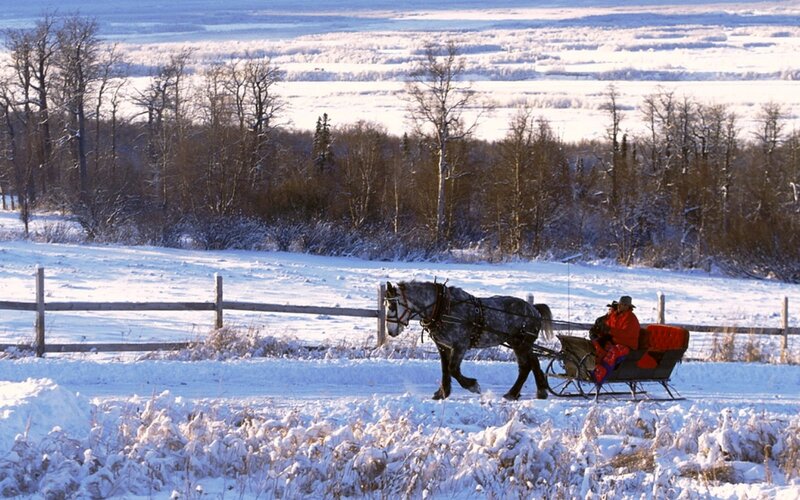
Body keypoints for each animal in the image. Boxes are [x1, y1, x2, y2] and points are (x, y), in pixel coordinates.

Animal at [384, 280, 554, 400]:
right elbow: (445, 369)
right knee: (532, 362)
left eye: (392, 306)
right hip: (520, 343)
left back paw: (513, 393)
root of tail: (534, 310)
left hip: (521, 343)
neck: (443, 308)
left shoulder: (460, 345)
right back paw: (539, 391)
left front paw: (472, 386)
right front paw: (442, 393)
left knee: (526, 366)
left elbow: (453, 369)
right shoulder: (443, 346)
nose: (390, 331)